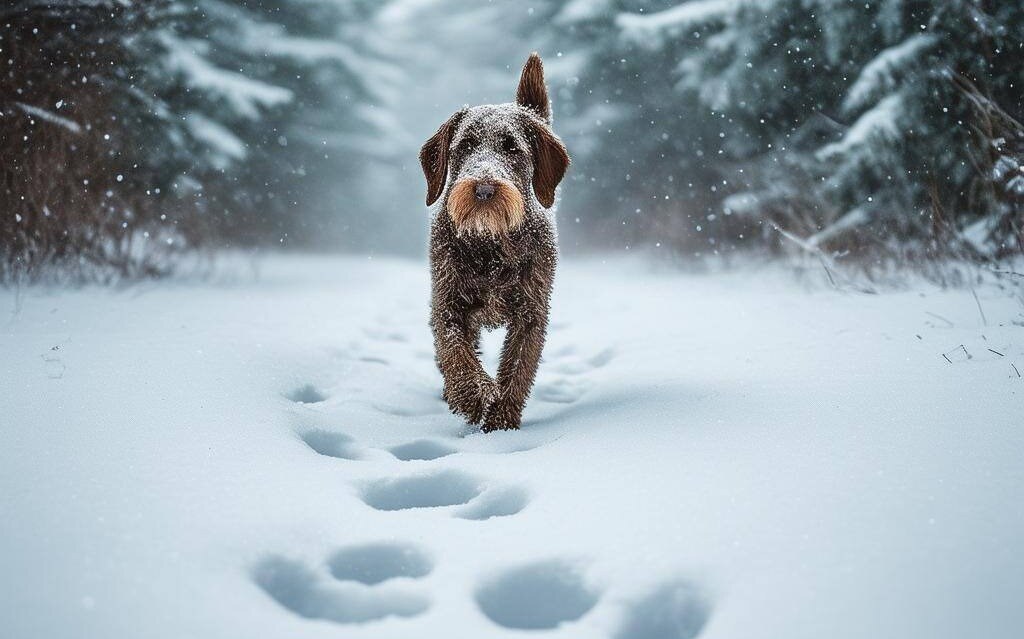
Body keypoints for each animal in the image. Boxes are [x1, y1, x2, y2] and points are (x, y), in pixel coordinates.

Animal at [419, 52, 573, 432]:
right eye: (465, 146)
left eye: (512, 147)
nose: (484, 189)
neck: (490, 245)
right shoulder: (448, 304)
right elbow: (456, 354)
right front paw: (475, 397)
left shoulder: (531, 312)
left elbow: (518, 367)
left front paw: (502, 419)